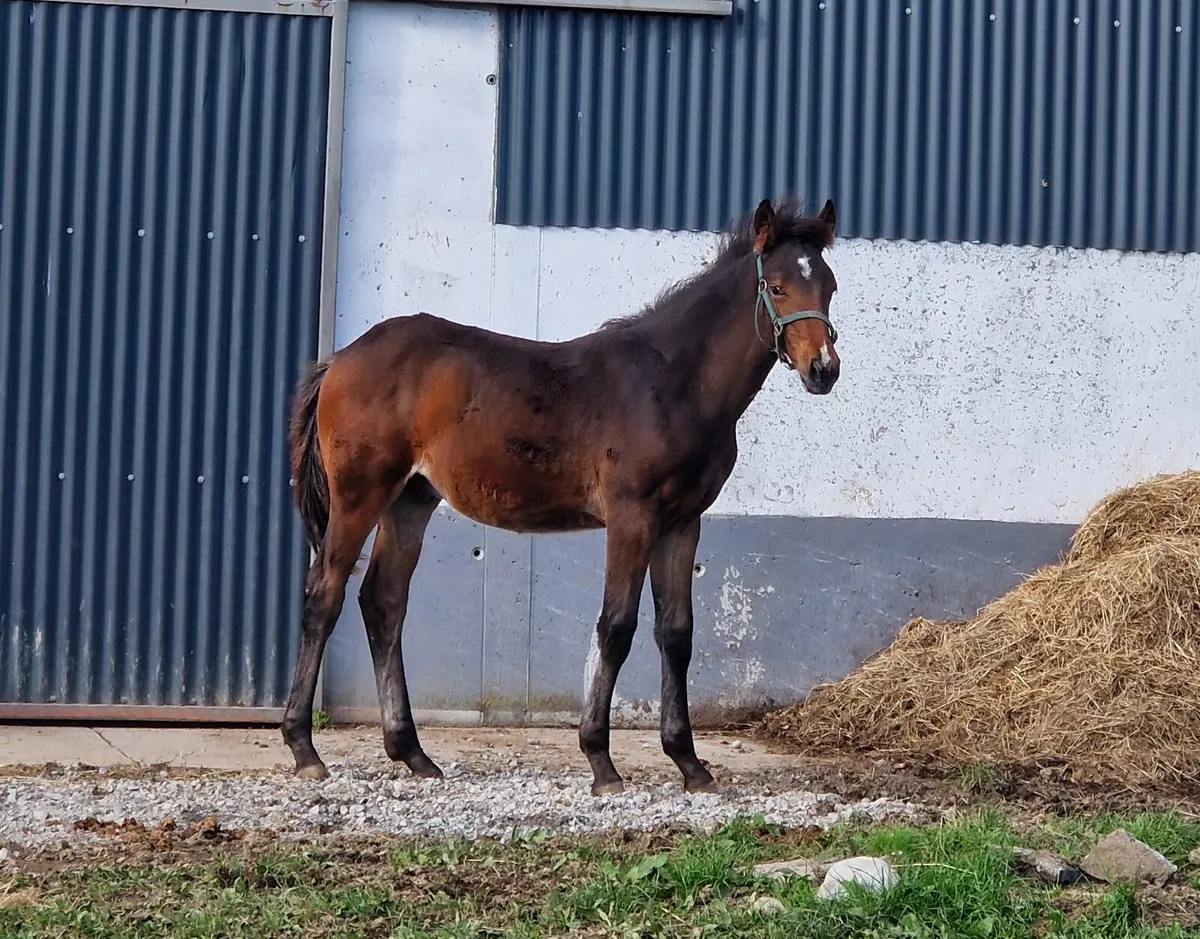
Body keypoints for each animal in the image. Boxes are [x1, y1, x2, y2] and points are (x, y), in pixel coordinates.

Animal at [283, 197, 841, 796]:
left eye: (829, 285)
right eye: (778, 287)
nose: (823, 370)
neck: (672, 382)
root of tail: (340, 359)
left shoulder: (682, 521)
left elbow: (676, 633)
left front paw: (690, 764)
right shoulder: (632, 516)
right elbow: (616, 627)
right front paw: (601, 763)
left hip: (409, 501)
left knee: (383, 603)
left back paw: (412, 752)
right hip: (359, 495)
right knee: (324, 597)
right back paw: (305, 749)